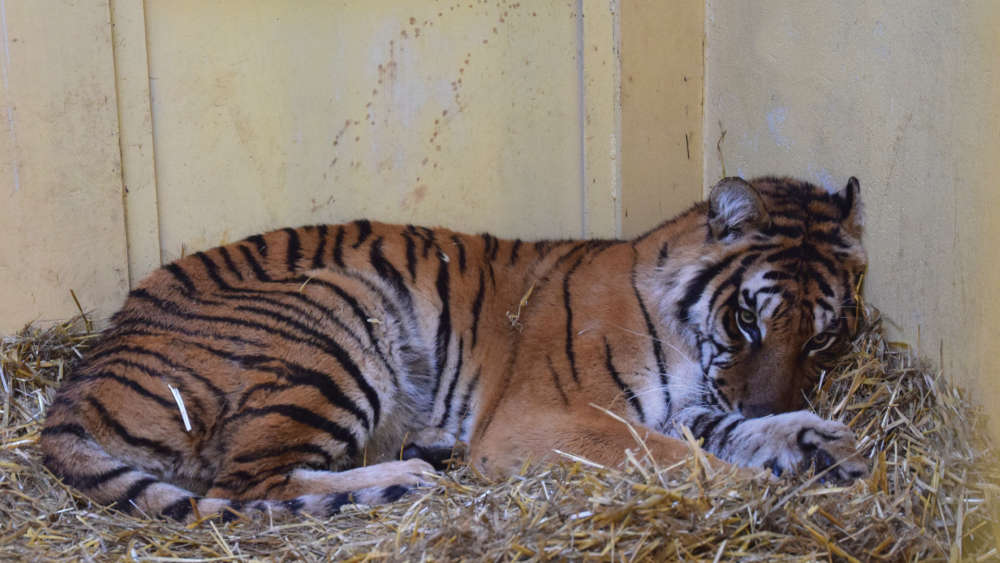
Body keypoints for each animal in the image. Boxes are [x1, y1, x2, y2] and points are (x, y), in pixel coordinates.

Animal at [40, 176, 869, 522]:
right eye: (749, 319)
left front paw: (823, 442)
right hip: (334, 318)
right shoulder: (549, 420)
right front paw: (757, 487)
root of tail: (79, 379)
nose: (771, 397)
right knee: (244, 484)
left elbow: (727, 431)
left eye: (823, 334)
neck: (690, 337)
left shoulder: (689, 403)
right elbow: (677, 457)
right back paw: (406, 474)